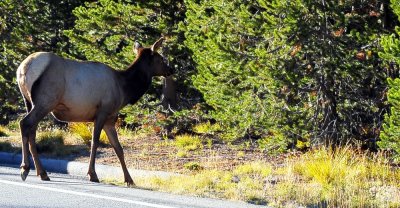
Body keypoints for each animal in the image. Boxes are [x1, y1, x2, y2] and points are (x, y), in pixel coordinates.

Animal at [16, 37, 172, 187]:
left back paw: (42, 173)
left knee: (32, 132)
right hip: (46, 100)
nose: (171, 70)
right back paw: (25, 168)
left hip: (29, 101)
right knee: (24, 123)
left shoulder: (110, 119)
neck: (124, 90)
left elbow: (118, 148)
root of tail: (24, 68)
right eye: (161, 58)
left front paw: (129, 180)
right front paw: (93, 174)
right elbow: (94, 143)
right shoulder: (102, 112)